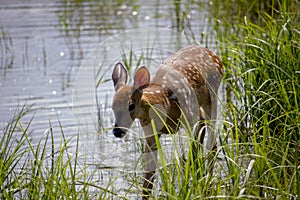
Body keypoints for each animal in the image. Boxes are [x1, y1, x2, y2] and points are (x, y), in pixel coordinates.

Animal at [110, 45, 223, 198]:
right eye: (113, 106)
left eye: (131, 105)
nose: (117, 131)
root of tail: (213, 54)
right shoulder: (150, 134)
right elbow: (149, 175)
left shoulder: (191, 117)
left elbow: (193, 153)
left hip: (211, 97)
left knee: (212, 144)